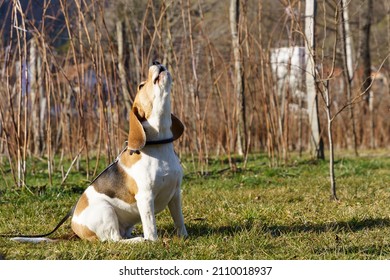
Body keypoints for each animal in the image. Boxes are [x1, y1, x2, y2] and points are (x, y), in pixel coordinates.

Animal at [71, 61, 188, 243]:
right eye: (141, 85)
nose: (156, 61)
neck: (159, 145)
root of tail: (75, 225)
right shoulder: (146, 198)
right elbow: (150, 227)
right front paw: (153, 242)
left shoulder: (175, 193)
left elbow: (179, 220)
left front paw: (184, 236)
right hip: (106, 210)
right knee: (115, 239)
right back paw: (139, 240)